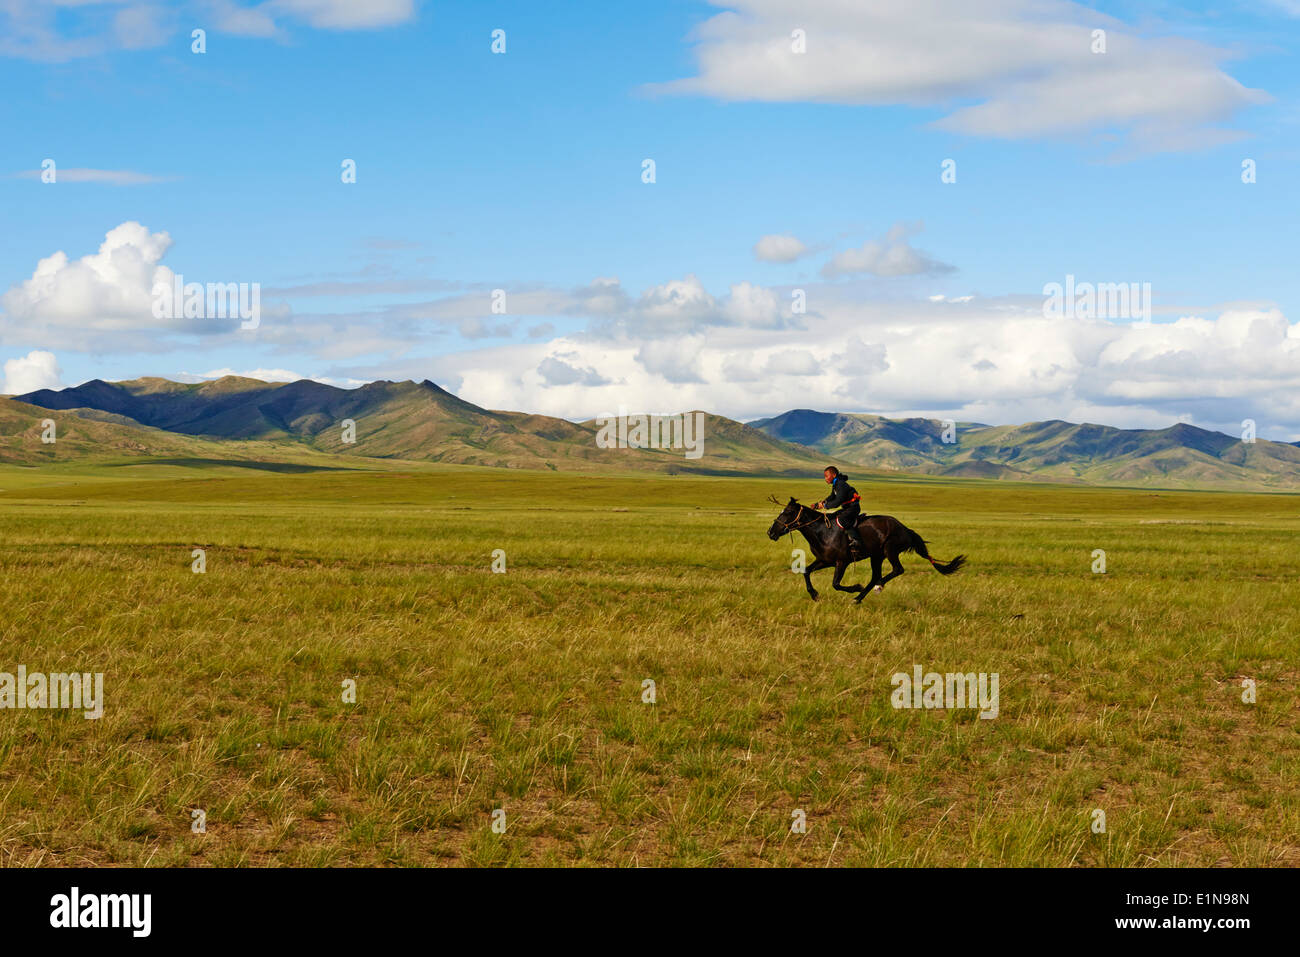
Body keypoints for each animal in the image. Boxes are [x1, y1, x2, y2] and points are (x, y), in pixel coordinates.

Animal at [765, 496, 966, 603]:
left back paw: (876, 588)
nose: (770, 532)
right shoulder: (824, 560)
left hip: (890, 551)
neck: (822, 531)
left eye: (787, 513)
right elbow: (806, 572)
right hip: (876, 556)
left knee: (896, 570)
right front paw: (814, 595)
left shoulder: (841, 562)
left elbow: (836, 584)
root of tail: (905, 529)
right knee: (875, 576)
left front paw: (854, 587)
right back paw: (858, 599)